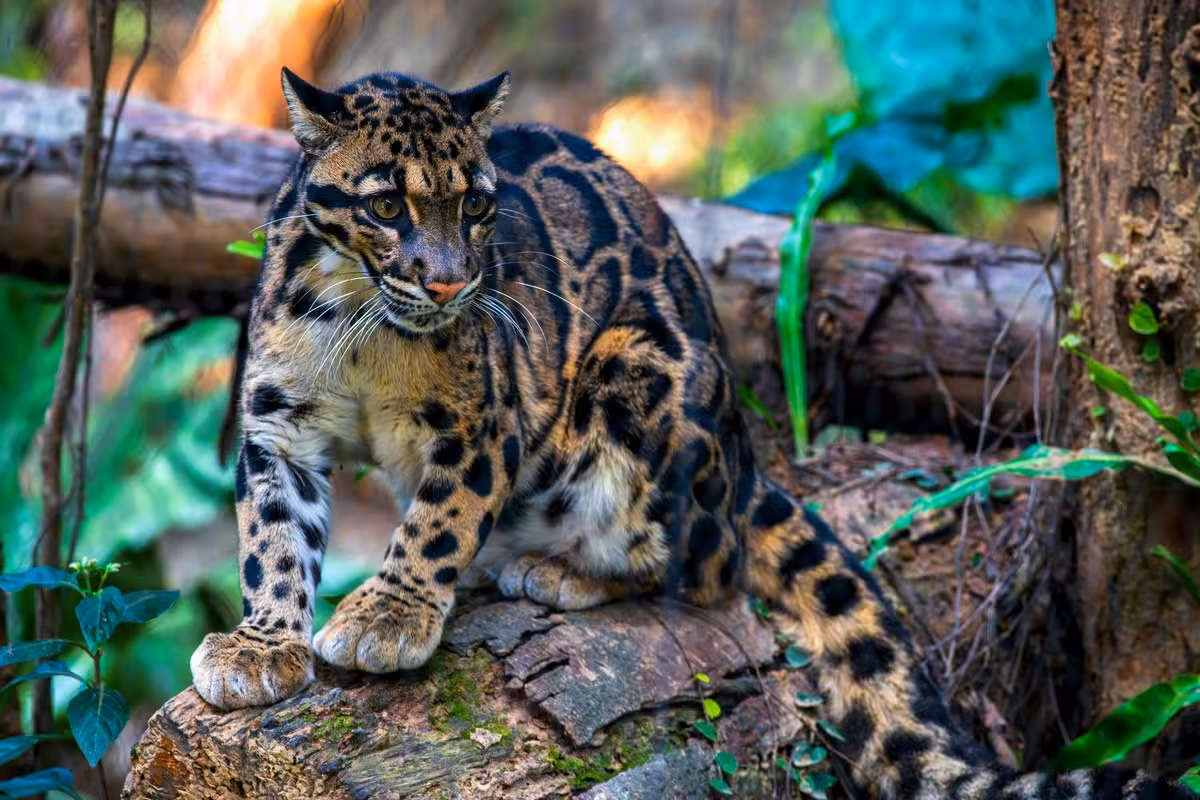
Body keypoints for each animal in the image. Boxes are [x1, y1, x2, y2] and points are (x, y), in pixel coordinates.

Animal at [189, 66, 1189, 799]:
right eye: (387, 206)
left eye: (474, 207)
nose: (448, 281)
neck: (354, 320)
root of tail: (746, 463)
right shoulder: (276, 425)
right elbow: (272, 539)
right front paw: (262, 646)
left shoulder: (482, 423)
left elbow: (436, 521)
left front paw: (388, 614)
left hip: (636, 369)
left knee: (698, 565)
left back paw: (554, 569)